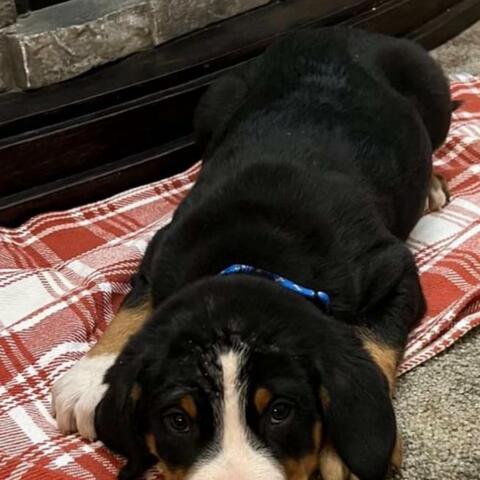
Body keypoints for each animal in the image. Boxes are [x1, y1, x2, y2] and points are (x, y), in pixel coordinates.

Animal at [51, 27, 453, 480]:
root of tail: (338, 30)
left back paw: (432, 187)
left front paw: (343, 445)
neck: (255, 256)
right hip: (212, 101)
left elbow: (371, 343)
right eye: (178, 421)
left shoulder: (392, 270)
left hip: (430, 88)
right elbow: (133, 306)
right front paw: (89, 377)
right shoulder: (164, 248)